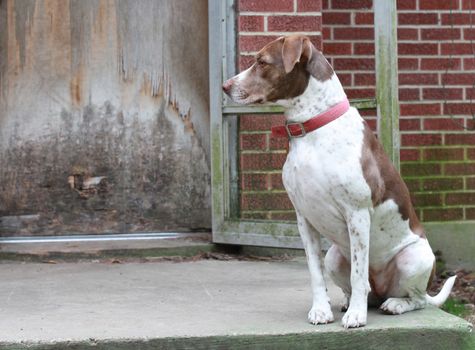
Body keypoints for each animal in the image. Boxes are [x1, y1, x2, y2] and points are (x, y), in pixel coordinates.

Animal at [223, 35, 458, 328]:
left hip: (413, 259)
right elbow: (315, 272)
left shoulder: (357, 214)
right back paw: (350, 302)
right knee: (364, 289)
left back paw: (394, 304)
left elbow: (358, 274)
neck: (312, 129)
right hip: (334, 256)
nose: (224, 87)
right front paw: (321, 310)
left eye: (262, 62)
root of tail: (382, 291)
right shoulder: (304, 219)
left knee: (415, 298)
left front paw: (356, 316)